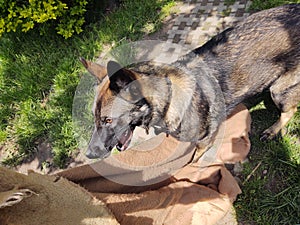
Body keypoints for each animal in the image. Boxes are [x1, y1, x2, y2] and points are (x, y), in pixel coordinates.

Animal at [80, 3, 300, 158]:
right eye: (95, 118)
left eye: (108, 120)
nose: (89, 154)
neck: (168, 99)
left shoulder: (204, 142)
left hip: (279, 90)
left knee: (290, 110)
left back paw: (272, 131)